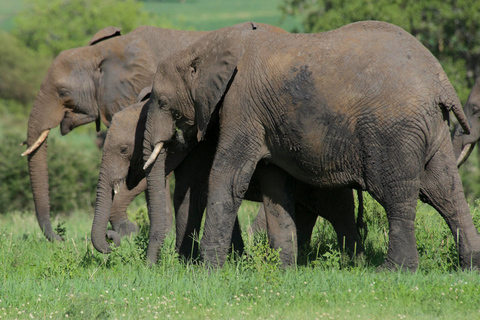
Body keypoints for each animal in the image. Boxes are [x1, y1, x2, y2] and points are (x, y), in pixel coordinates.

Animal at [93, 86, 364, 264]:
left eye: (124, 150)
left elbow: (193, 195)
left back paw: (354, 263)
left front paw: (186, 263)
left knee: (339, 215)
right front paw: (236, 261)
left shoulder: (204, 149)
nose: (112, 240)